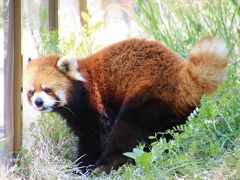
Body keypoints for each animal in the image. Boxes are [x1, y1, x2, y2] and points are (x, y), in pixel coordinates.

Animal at [23, 36, 227, 173]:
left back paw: (107, 165)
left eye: (47, 89)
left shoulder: (96, 108)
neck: (83, 85)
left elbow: (93, 140)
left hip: (147, 98)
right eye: (31, 91)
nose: (38, 102)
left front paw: (82, 166)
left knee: (127, 131)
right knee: (170, 133)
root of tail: (182, 78)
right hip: (178, 113)